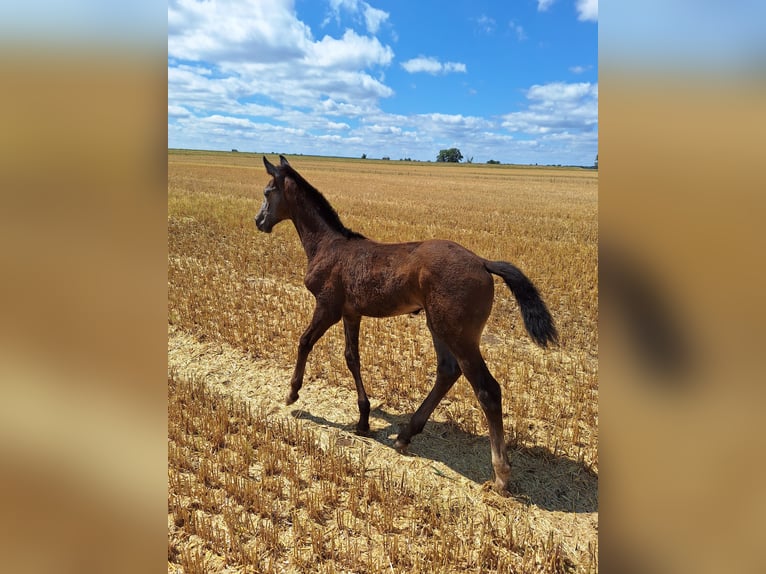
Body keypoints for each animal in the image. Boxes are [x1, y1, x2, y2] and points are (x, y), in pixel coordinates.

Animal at [258, 155, 560, 492]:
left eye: (268, 191)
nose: (259, 221)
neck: (328, 246)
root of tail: (483, 262)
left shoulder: (328, 308)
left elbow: (304, 342)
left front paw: (292, 393)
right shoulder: (352, 313)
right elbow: (352, 358)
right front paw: (363, 420)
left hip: (457, 333)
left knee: (487, 389)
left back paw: (500, 474)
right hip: (438, 326)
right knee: (448, 371)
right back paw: (405, 435)